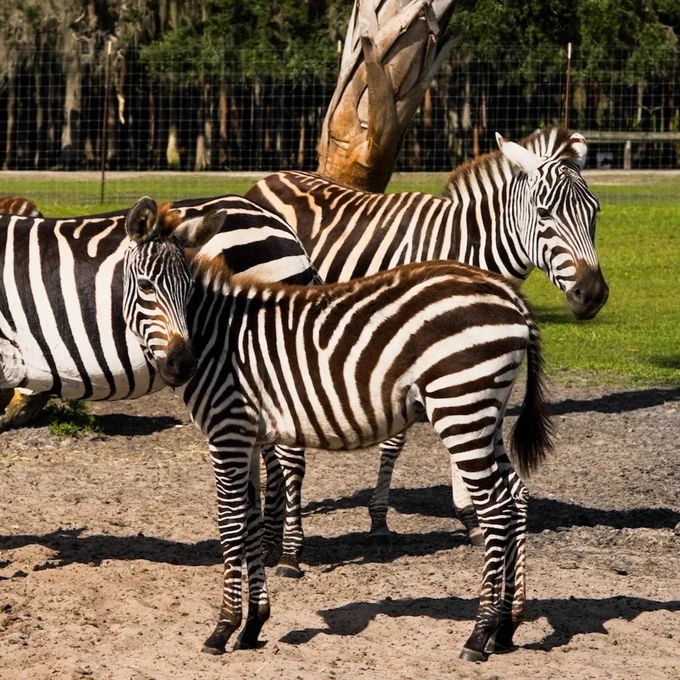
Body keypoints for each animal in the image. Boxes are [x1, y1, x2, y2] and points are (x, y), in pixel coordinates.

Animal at [122, 195, 553, 662]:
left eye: (188, 292)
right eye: (146, 287)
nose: (183, 365)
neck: (221, 338)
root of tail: (509, 295)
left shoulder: (227, 432)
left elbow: (232, 525)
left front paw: (223, 628)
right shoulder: (248, 436)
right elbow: (252, 522)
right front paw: (253, 625)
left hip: (461, 407)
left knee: (496, 509)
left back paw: (479, 634)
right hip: (486, 412)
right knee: (517, 497)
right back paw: (508, 626)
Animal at [245, 126, 608, 571]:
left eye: (594, 214)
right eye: (544, 214)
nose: (592, 295)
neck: (472, 251)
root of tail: (274, 176)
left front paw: (469, 517)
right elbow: (395, 441)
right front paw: (379, 523)